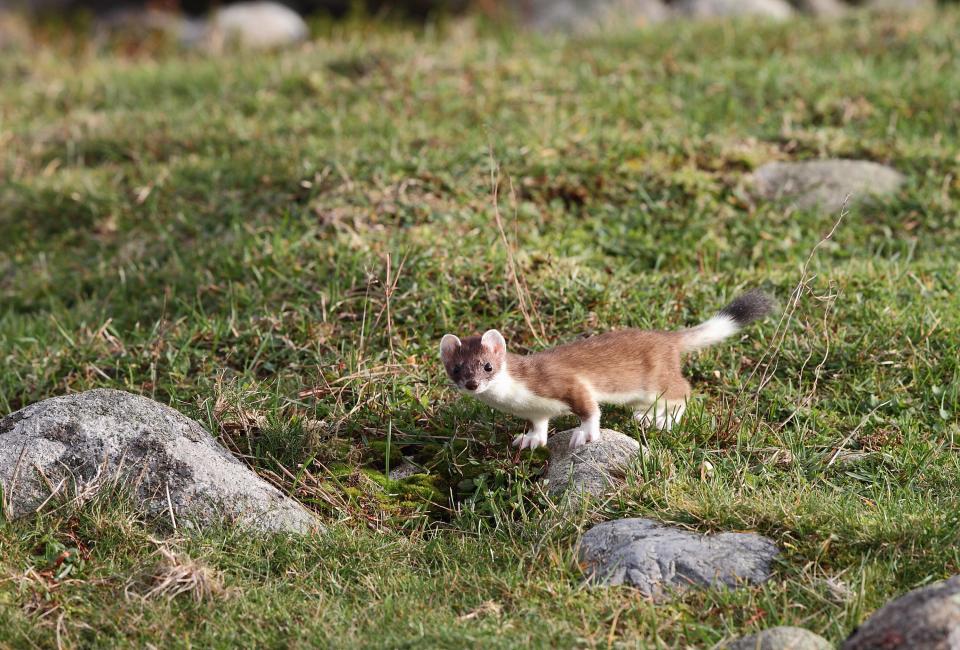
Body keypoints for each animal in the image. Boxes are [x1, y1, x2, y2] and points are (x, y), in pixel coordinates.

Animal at [440, 290, 772, 448]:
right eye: (456, 369)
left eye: (487, 365)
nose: (471, 384)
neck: (516, 398)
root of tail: (666, 337)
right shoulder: (536, 409)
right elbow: (539, 423)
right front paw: (530, 440)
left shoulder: (566, 382)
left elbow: (589, 409)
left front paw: (584, 434)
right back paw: (645, 415)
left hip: (658, 378)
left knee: (684, 392)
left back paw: (661, 421)